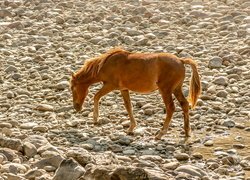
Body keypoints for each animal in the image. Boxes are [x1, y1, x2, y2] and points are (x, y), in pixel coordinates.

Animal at [70, 47, 201, 139]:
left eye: (72, 88)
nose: (76, 107)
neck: (106, 64)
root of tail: (181, 60)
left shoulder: (110, 85)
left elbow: (96, 96)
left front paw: (95, 118)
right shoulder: (123, 89)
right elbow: (128, 106)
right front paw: (131, 128)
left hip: (166, 90)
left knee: (170, 108)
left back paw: (160, 134)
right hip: (176, 89)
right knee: (184, 104)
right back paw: (187, 131)